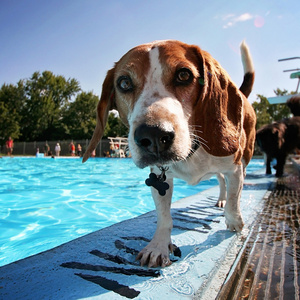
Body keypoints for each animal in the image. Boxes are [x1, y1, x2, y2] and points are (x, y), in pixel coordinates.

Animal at [83, 39, 256, 268]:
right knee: (219, 180)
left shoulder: (235, 168)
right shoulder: (158, 179)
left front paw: (234, 220)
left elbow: (235, 198)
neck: (192, 152)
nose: (154, 135)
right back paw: (220, 198)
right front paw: (158, 246)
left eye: (184, 75)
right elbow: (164, 217)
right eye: (124, 83)